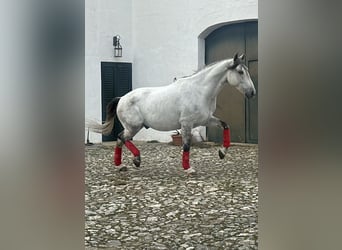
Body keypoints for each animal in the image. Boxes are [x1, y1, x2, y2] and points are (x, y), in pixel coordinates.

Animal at [89, 53, 255, 174]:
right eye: (240, 72)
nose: (252, 93)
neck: (199, 91)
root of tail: (122, 98)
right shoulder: (186, 123)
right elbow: (186, 145)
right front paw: (188, 169)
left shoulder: (205, 120)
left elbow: (225, 125)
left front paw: (222, 152)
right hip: (133, 127)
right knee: (121, 138)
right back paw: (136, 159)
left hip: (134, 127)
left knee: (120, 140)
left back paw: (121, 165)